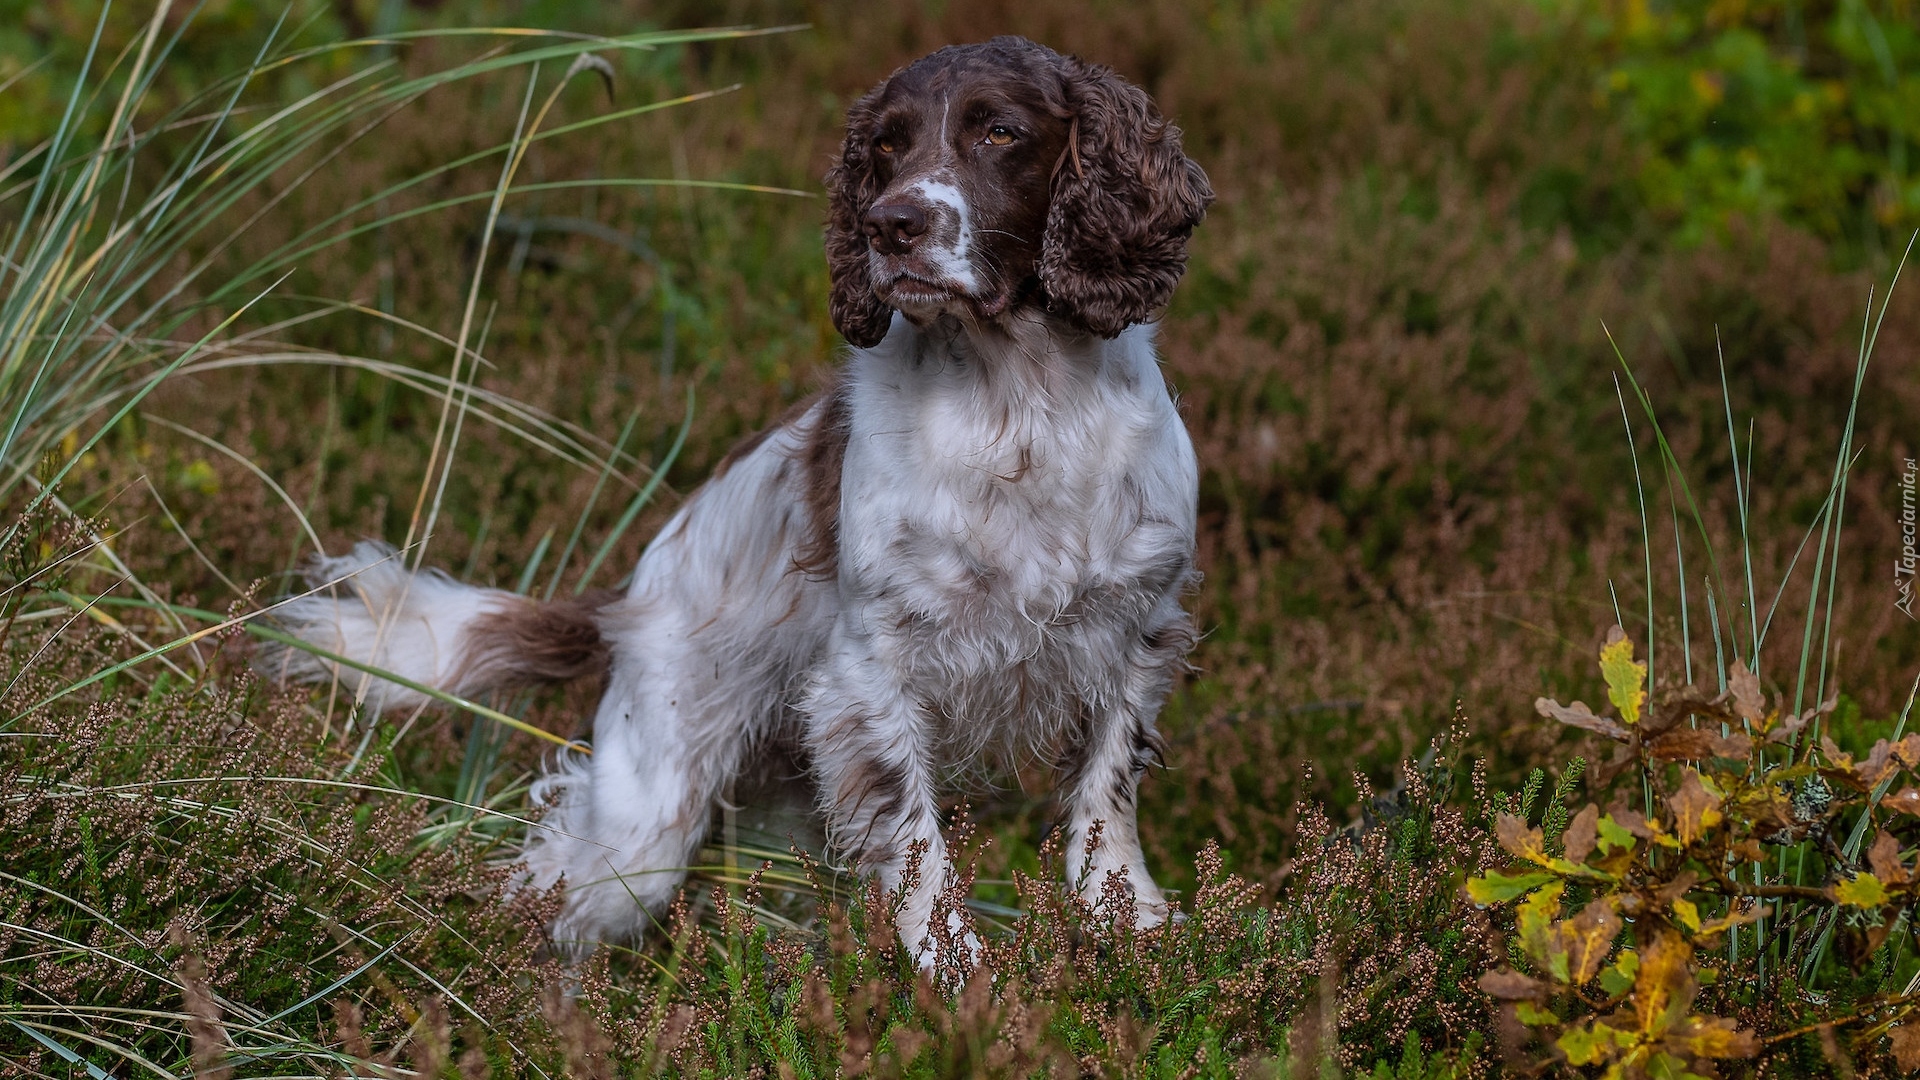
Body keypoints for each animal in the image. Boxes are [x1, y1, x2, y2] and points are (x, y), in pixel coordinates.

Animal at [270, 35, 1205, 957]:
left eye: (1001, 132)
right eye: (887, 146)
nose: (890, 224)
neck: (1019, 405)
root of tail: (626, 601)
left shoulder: (1135, 631)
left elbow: (1106, 796)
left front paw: (1130, 921)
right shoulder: (873, 672)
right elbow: (918, 850)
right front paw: (959, 978)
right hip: (647, 816)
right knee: (555, 900)